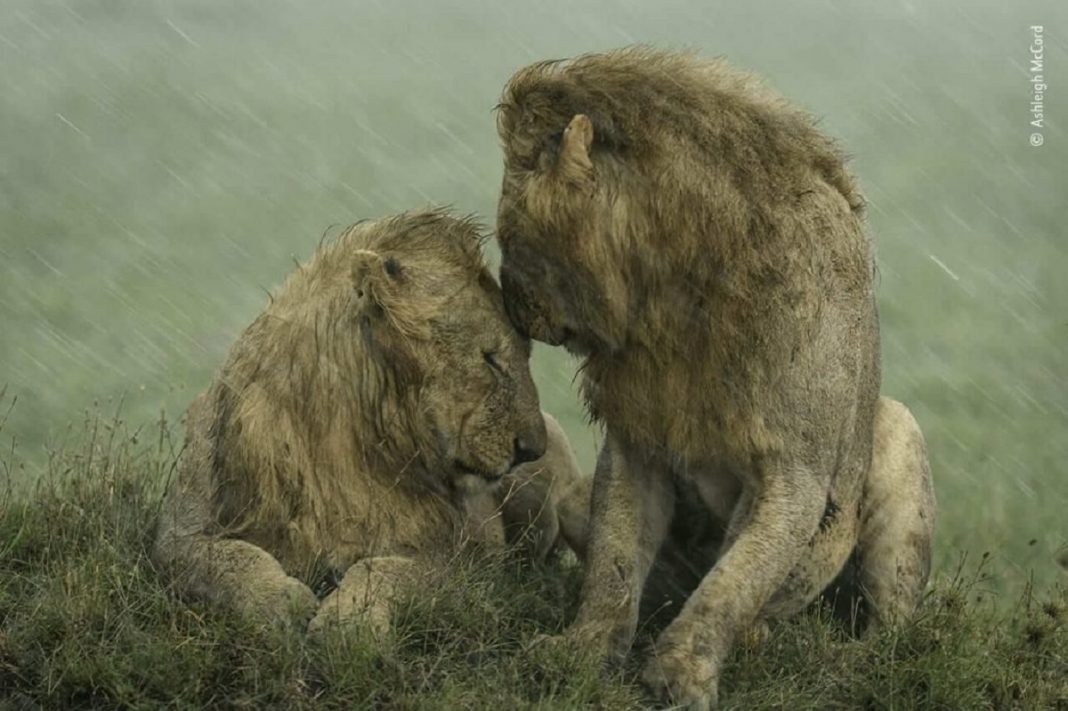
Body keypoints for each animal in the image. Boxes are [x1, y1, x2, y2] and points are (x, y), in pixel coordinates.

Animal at [154, 208, 593, 632]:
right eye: (490, 358)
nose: (531, 449)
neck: (340, 442)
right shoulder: (180, 533)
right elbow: (228, 559)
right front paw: (281, 602)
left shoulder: (458, 561)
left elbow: (381, 568)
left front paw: (350, 623)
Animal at [493, 46, 935, 704]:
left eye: (509, 234)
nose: (513, 308)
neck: (675, 297)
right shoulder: (636, 443)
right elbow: (613, 566)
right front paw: (581, 653)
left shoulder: (795, 473)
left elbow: (733, 581)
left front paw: (681, 673)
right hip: (572, 497)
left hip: (896, 432)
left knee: (890, 623)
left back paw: (837, 656)